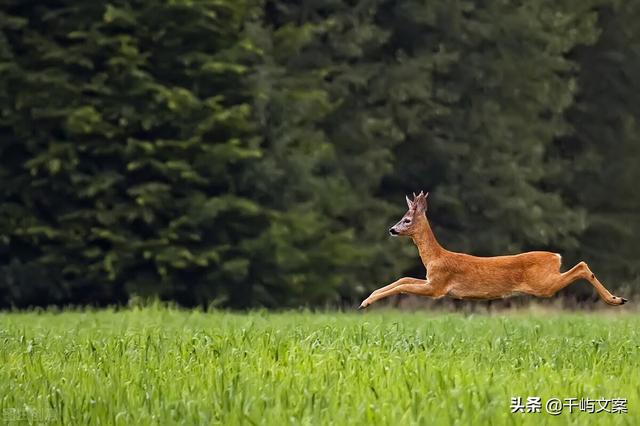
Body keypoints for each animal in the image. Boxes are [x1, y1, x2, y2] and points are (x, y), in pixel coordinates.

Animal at [358, 191, 628, 308]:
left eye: (406, 220)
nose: (392, 230)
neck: (435, 257)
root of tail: (555, 256)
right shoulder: (431, 280)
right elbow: (402, 279)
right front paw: (366, 300)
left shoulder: (438, 286)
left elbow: (403, 286)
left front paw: (366, 303)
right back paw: (617, 298)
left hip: (543, 284)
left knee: (581, 266)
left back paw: (616, 299)